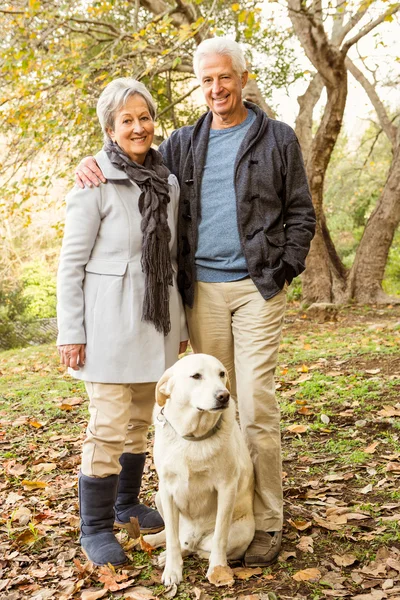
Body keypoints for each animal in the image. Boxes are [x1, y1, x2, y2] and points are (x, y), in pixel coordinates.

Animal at [145, 354, 255, 584]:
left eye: (221, 374)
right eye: (196, 376)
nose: (224, 396)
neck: (193, 438)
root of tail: (193, 537)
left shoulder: (226, 488)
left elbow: (220, 537)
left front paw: (218, 568)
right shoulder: (166, 489)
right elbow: (171, 537)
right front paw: (172, 569)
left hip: (243, 531)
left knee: (198, 547)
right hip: (158, 497)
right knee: (177, 538)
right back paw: (157, 544)